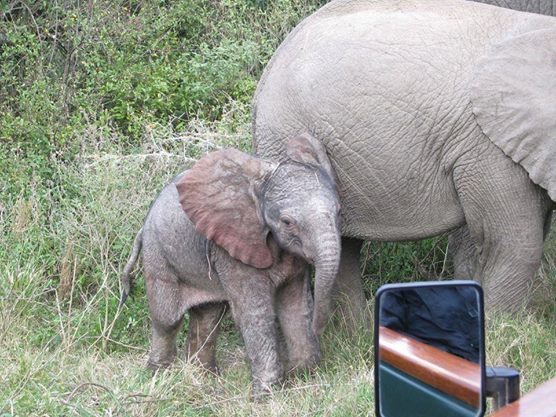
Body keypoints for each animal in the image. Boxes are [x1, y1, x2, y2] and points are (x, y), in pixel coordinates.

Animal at [119, 134, 340, 396]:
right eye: (287, 222)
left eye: (339, 212)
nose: (320, 330)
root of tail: (143, 226)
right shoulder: (231, 247)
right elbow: (256, 313)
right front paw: (267, 395)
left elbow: (296, 306)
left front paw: (305, 378)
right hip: (158, 252)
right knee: (167, 319)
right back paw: (158, 375)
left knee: (208, 317)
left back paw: (203, 377)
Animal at [252, 0, 556, 334]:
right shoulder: (488, 145)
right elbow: (513, 245)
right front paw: (496, 330)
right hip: (284, 136)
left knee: (344, 246)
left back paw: (358, 335)